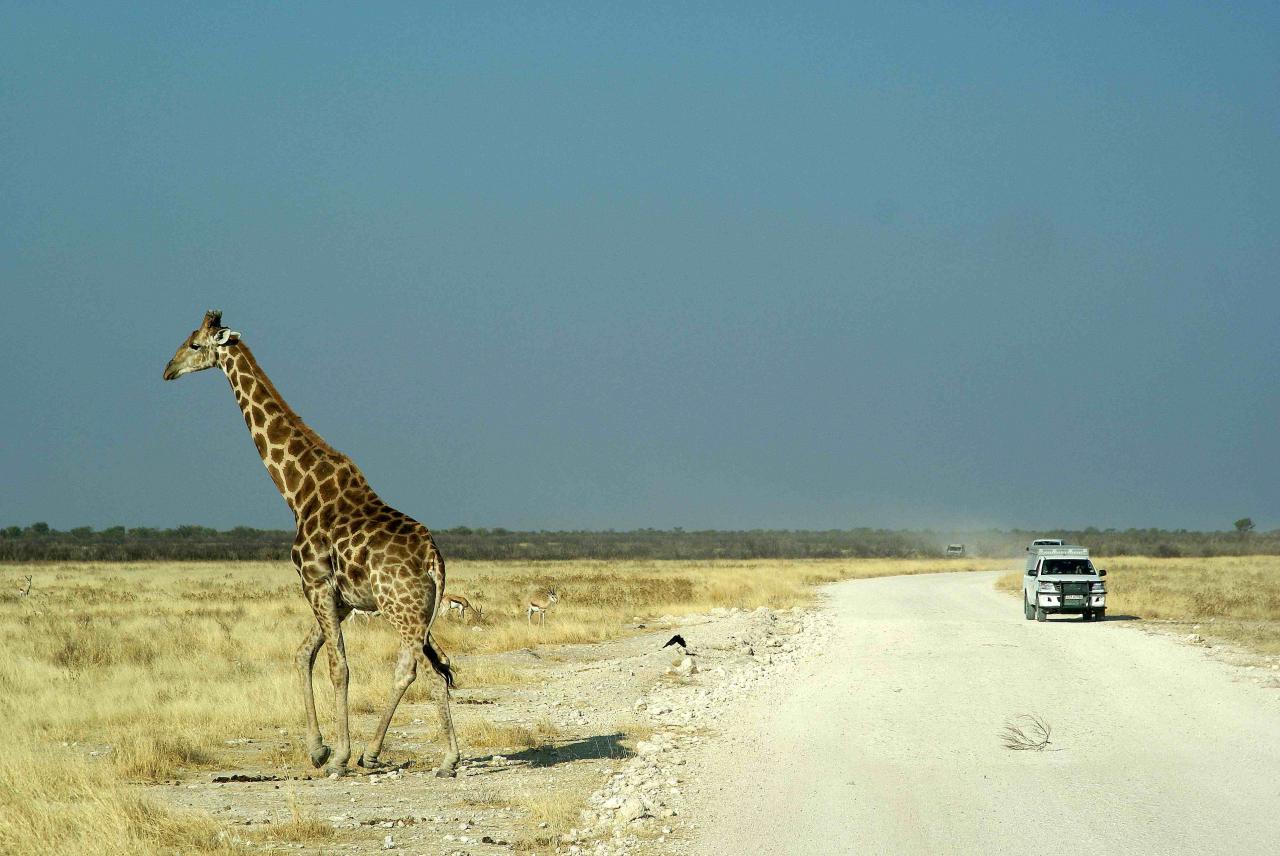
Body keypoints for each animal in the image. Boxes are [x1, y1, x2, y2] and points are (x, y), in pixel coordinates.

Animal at [161, 310, 460, 777]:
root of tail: (433, 558)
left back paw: (447, 758)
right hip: (413, 611)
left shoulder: (315, 584)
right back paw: (372, 753)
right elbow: (303, 654)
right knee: (415, 667)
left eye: (194, 344)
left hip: (400, 607)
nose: (168, 370)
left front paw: (336, 755)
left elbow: (339, 667)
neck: (298, 491)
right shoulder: (341, 598)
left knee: (425, 670)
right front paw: (318, 749)